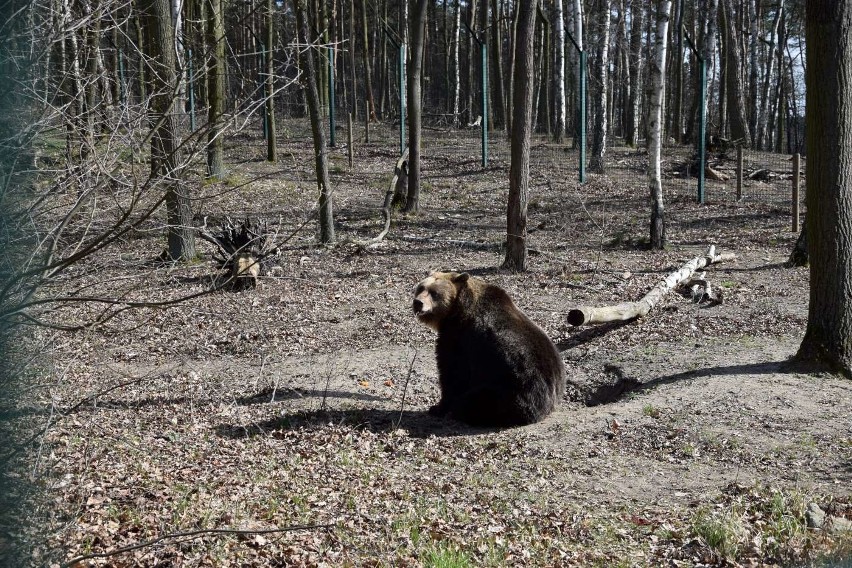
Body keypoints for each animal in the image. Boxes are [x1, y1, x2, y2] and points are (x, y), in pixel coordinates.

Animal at [412, 270, 564, 426]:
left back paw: (460, 412)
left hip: (508, 388)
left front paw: (437, 408)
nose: (418, 303)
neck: (457, 310)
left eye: (434, 293)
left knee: (476, 401)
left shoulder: (459, 339)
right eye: (421, 288)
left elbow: (452, 372)